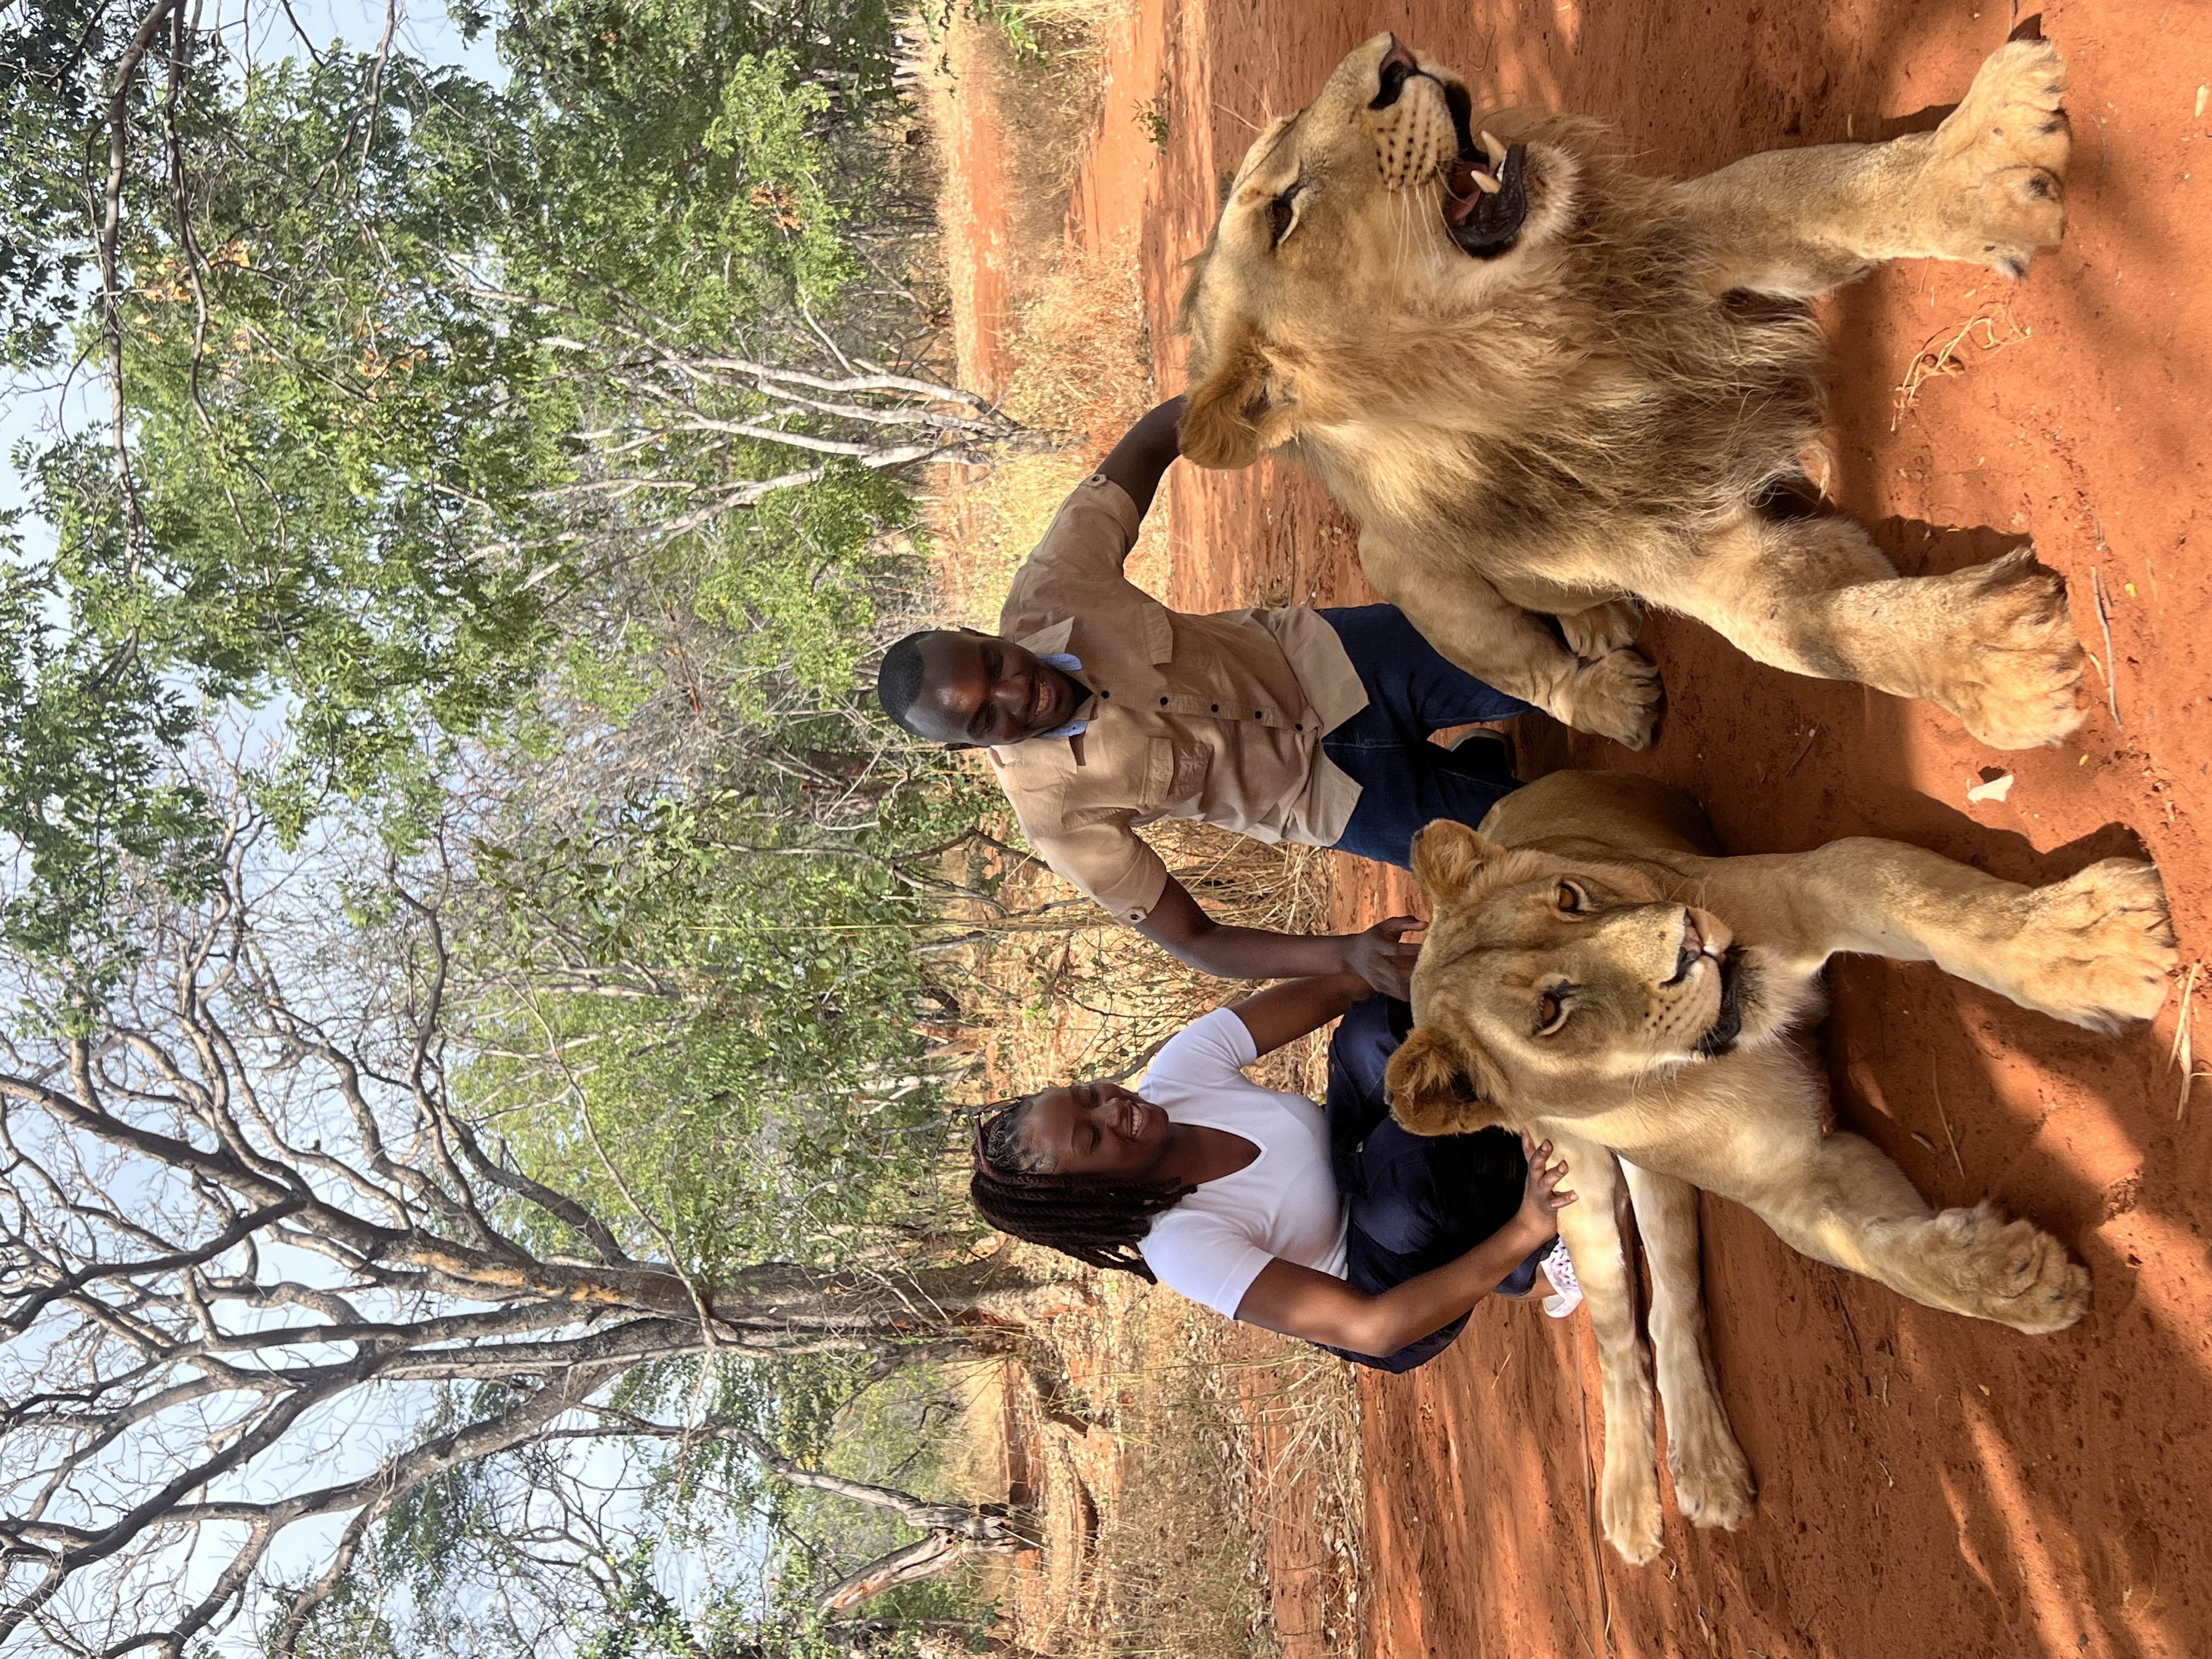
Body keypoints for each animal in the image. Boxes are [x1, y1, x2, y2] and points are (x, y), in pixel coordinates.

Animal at [1176, 32, 2086, 751]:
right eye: (1283, 212)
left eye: (1291, 128)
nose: (1396, 58)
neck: (1543, 348)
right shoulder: (1687, 561)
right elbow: (1819, 635)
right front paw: (2000, 665)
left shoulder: (1695, 234)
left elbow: (1829, 189)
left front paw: (1980, 158)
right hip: (1400, 569)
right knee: (1532, 672)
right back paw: (1609, 695)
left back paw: (1594, 619)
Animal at [1380, 770, 2175, 1563]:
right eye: (1549, 1014)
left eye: (1571, 897)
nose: (1688, 943)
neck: (1703, 1059)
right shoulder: (1792, 1177)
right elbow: (1876, 1255)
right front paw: (2019, 1279)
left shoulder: (1809, 883)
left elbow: (1941, 908)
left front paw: (2093, 946)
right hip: (1575, 1181)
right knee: (1617, 1335)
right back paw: (1636, 1503)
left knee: (1670, 1304)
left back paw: (1705, 1467)